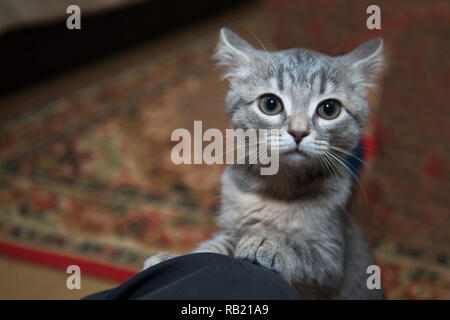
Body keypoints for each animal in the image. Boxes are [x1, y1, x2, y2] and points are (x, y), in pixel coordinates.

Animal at [144, 28, 384, 300]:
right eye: (270, 104)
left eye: (329, 108)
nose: (298, 131)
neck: (278, 192)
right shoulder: (231, 230)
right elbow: (212, 249)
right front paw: (171, 258)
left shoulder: (330, 259)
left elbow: (301, 249)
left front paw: (269, 242)